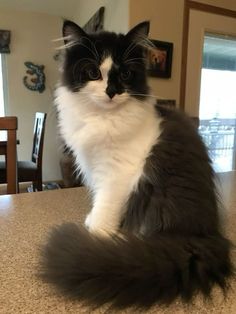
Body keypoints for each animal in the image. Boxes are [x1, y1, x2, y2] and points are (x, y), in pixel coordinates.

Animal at [40, 20, 232, 310]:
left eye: (126, 73)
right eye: (93, 72)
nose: (111, 91)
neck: (102, 119)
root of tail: (204, 238)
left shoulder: (117, 174)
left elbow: (105, 208)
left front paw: (95, 235)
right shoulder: (95, 169)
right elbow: (98, 202)